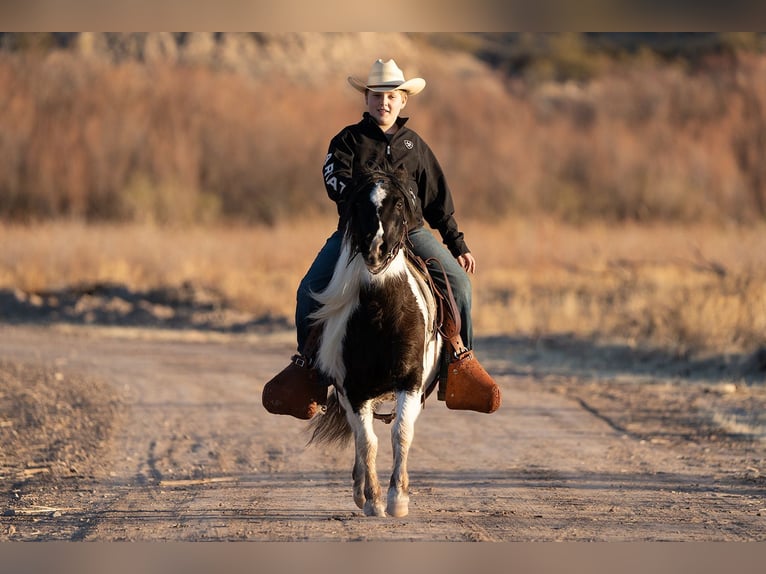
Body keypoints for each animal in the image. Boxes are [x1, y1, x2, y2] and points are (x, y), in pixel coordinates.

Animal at [308, 164, 444, 520]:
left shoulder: (410, 382)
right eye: (358, 204)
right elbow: (367, 441)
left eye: (398, 203)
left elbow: (401, 434)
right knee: (360, 435)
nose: (376, 249)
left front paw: (398, 499)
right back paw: (359, 491)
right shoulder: (353, 389)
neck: (382, 312)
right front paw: (372, 499)